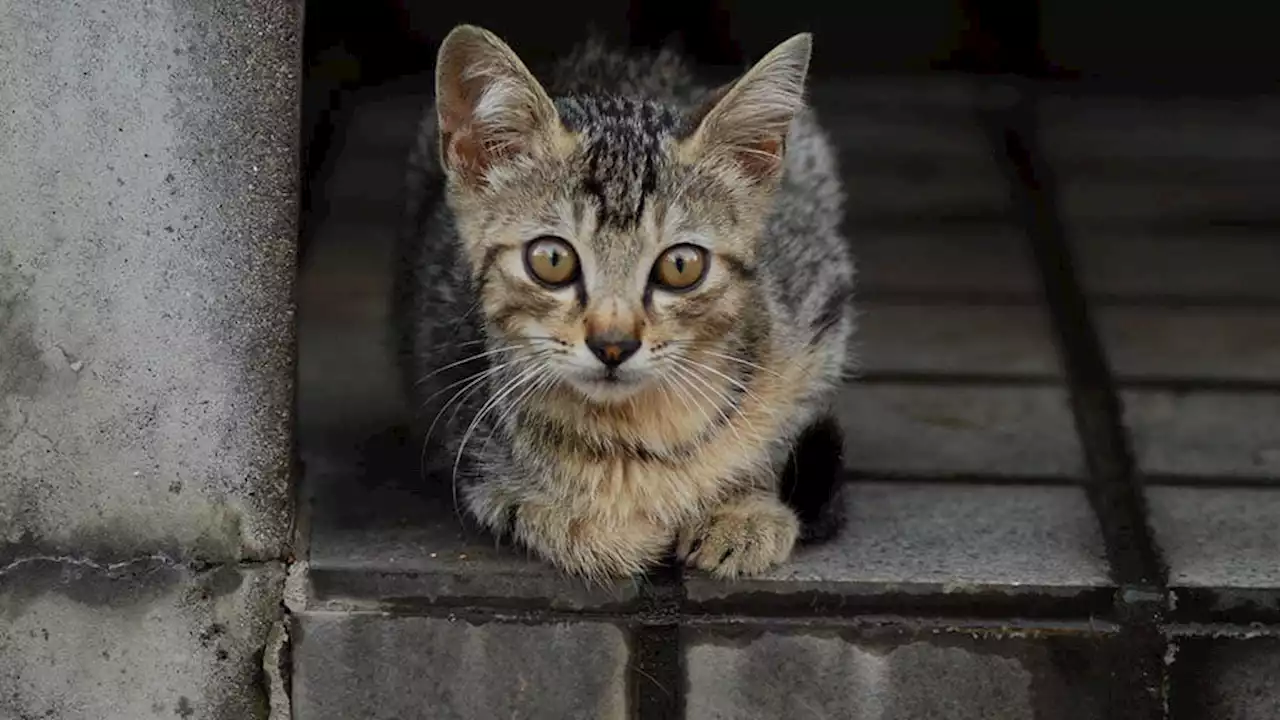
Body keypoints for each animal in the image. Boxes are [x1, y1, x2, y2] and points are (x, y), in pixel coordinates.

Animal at [394, 25, 855, 579]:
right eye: (551, 260)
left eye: (681, 266)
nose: (613, 344)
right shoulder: (453, 393)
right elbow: (508, 499)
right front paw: (587, 526)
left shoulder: (820, 307)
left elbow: (785, 426)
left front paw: (744, 509)